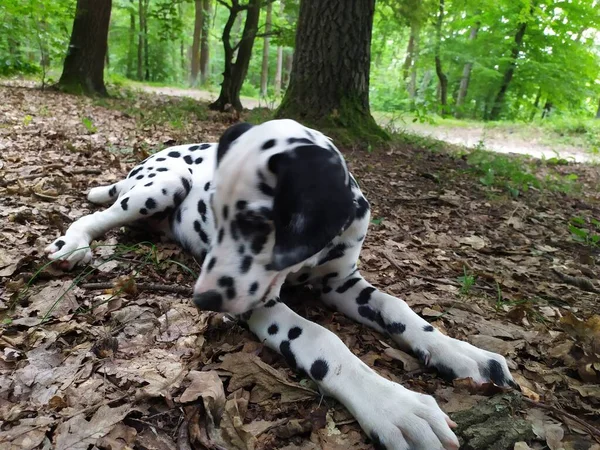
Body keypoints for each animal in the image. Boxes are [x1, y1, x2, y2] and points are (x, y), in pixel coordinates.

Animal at [47, 119, 516, 450]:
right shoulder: (262, 303)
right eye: (216, 210)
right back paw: (73, 243)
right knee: (95, 215)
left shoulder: (343, 284)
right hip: (162, 185)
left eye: (256, 221)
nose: (204, 299)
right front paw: (393, 405)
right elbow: (323, 339)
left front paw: (460, 352)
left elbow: (397, 308)